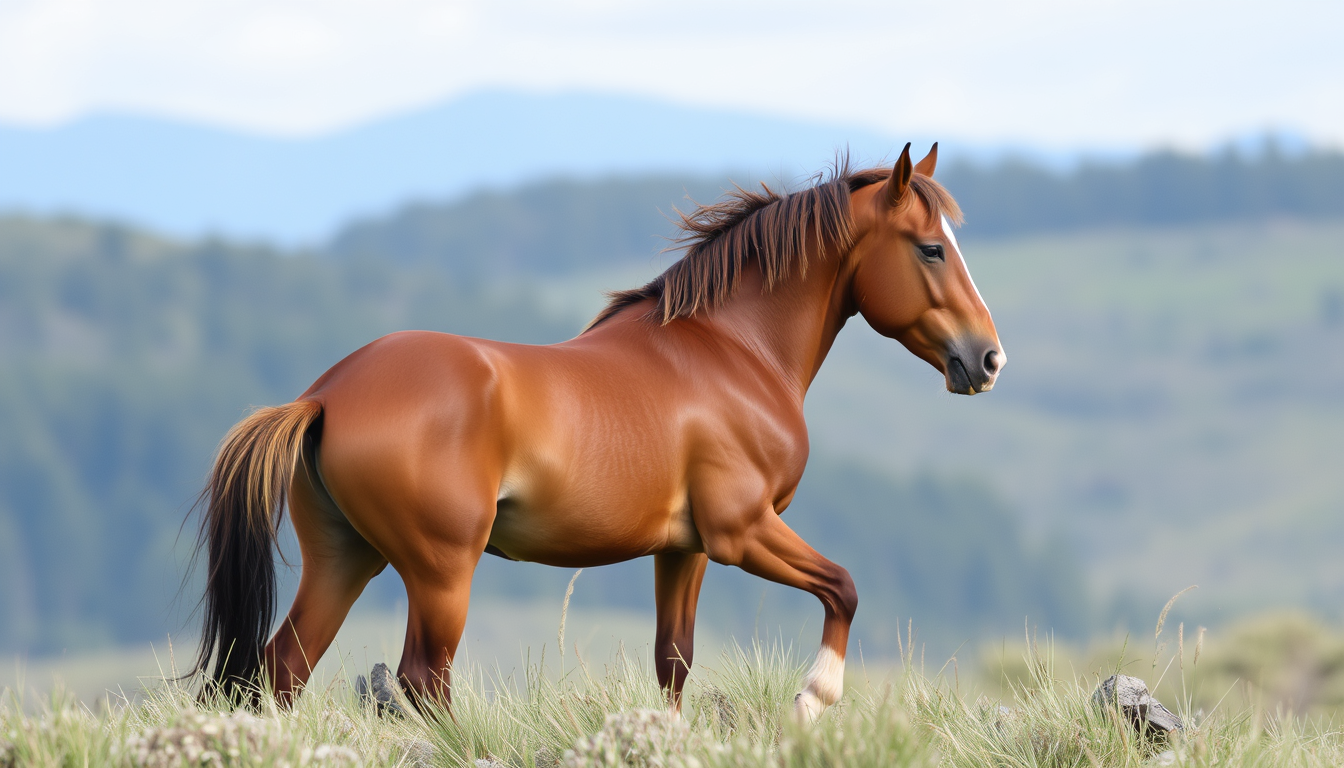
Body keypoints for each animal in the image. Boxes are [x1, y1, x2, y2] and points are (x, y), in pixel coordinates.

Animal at [190, 143, 1004, 723]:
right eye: (931, 248)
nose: (988, 359)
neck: (732, 351)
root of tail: (325, 395)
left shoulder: (685, 549)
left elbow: (674, 661)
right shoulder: (742, 531)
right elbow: (843, 588)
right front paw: (813, 698)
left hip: (345, 558)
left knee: (284, 670)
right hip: (441, 569)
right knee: (422, 679)